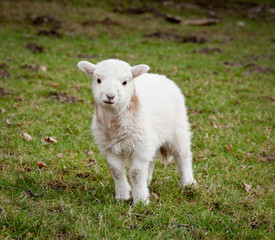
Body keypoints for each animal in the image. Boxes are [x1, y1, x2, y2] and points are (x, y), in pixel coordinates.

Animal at [77, 58, 196, 204]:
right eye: (98, 80)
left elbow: (136, 173)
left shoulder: (140, 147)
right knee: (151, 160)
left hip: (178, 129)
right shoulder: (110, 147)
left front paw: (141, 200)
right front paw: (122, 196)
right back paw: (148, 181)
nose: (110, 96)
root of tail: (159, 76)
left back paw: (188, 183)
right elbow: (116, 171)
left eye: (125, 82)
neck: (115, 125)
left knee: (183, 155)